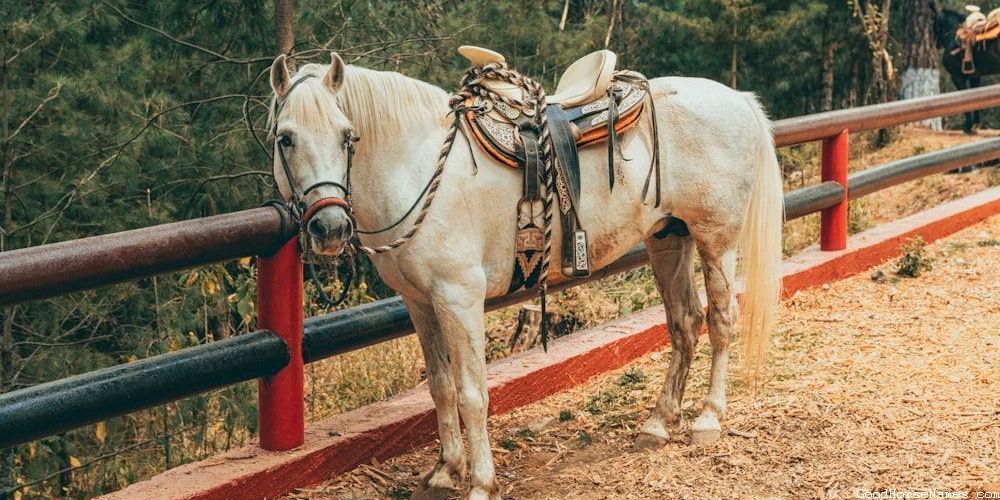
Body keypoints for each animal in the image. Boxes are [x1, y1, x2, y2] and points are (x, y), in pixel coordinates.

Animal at [266, 52, 782, 499]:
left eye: (347, 136)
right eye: (285, 138)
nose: (330, 228)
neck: (421, 165)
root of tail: (737, 98)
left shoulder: (459, 298)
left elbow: (472, 394)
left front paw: (480, 482)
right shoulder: (420, 303)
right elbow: (440, 387)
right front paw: (445, 471)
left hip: (716, 240)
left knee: (720, 321)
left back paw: (708, 418)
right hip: (669, 238)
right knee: (684, 322)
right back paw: (659, 421)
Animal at [934, 4, 1000, 133]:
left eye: (935, 22)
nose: (937, 43)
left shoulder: (957, 77)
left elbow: (964, 99)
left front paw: (968, 127)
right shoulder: (975, 77)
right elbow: (974, 99)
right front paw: (975, 125)